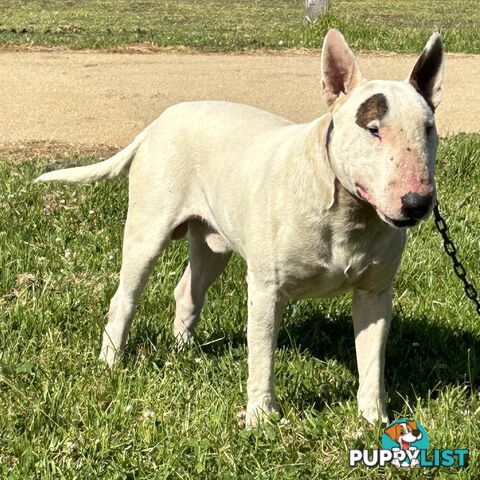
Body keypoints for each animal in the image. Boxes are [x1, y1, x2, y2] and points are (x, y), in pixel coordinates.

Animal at [35, 30, 444, 428]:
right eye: (373, 129)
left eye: (429, 129)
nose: (418, 203)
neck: (344, 211)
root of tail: (159, 121)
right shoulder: (266, 289)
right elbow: (262, 356)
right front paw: (261, 417)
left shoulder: (374, 294)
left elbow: (372, 361)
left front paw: (374, 418)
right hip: (147, 231)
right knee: (125, 297)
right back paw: (110, 361)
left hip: (212, 243)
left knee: (188, 290)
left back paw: (185, 352)